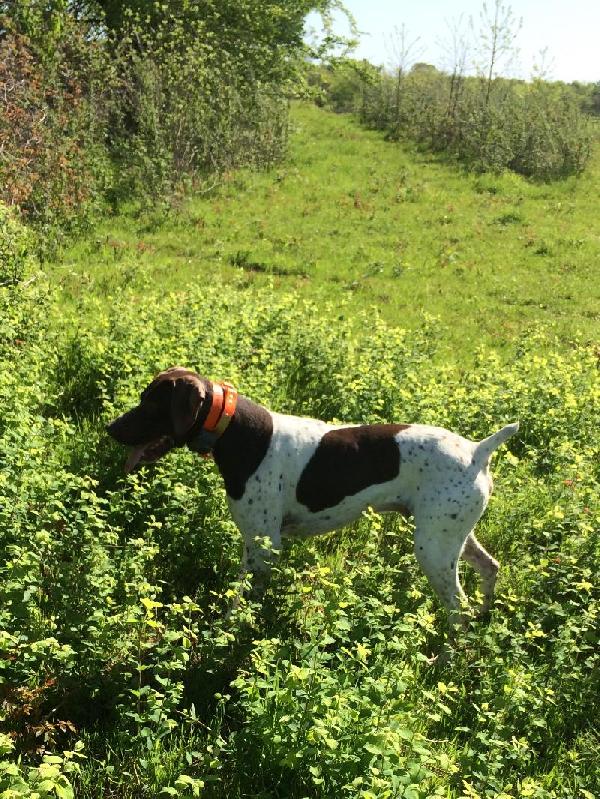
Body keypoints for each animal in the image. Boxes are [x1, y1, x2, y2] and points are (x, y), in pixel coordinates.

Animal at [105, 368, 516, 624]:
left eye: (152, 405)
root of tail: (477, 451)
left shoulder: (264, 544)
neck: (235, 432)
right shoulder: (256, 543)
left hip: (433, 548)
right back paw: (485, 616)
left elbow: (242, 601)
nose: (110, 428)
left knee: (458, 610)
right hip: (453, 537)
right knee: (489, 568)